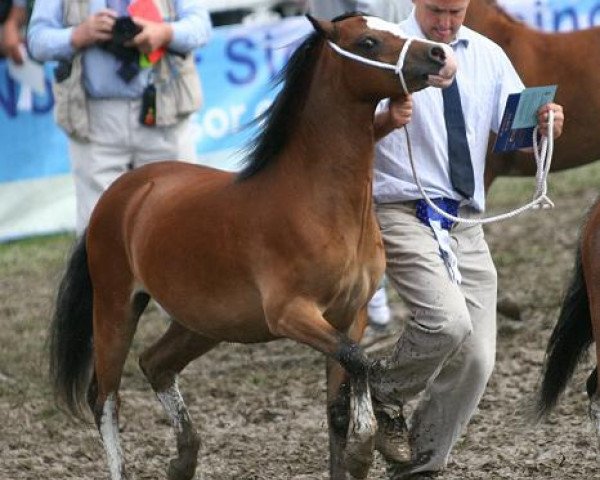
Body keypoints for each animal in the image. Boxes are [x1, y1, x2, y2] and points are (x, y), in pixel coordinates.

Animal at [49, 12, 458, 480]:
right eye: (368, 41)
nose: (438, 55)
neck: (318, 201)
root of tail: (122, 191)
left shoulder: (349, 315)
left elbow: (340, 400)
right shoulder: (290, 313)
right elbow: (359, 361)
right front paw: (364, 446)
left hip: (201, 322)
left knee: (154, 363)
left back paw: (185, 457)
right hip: (116, 308)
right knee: (105, 398)